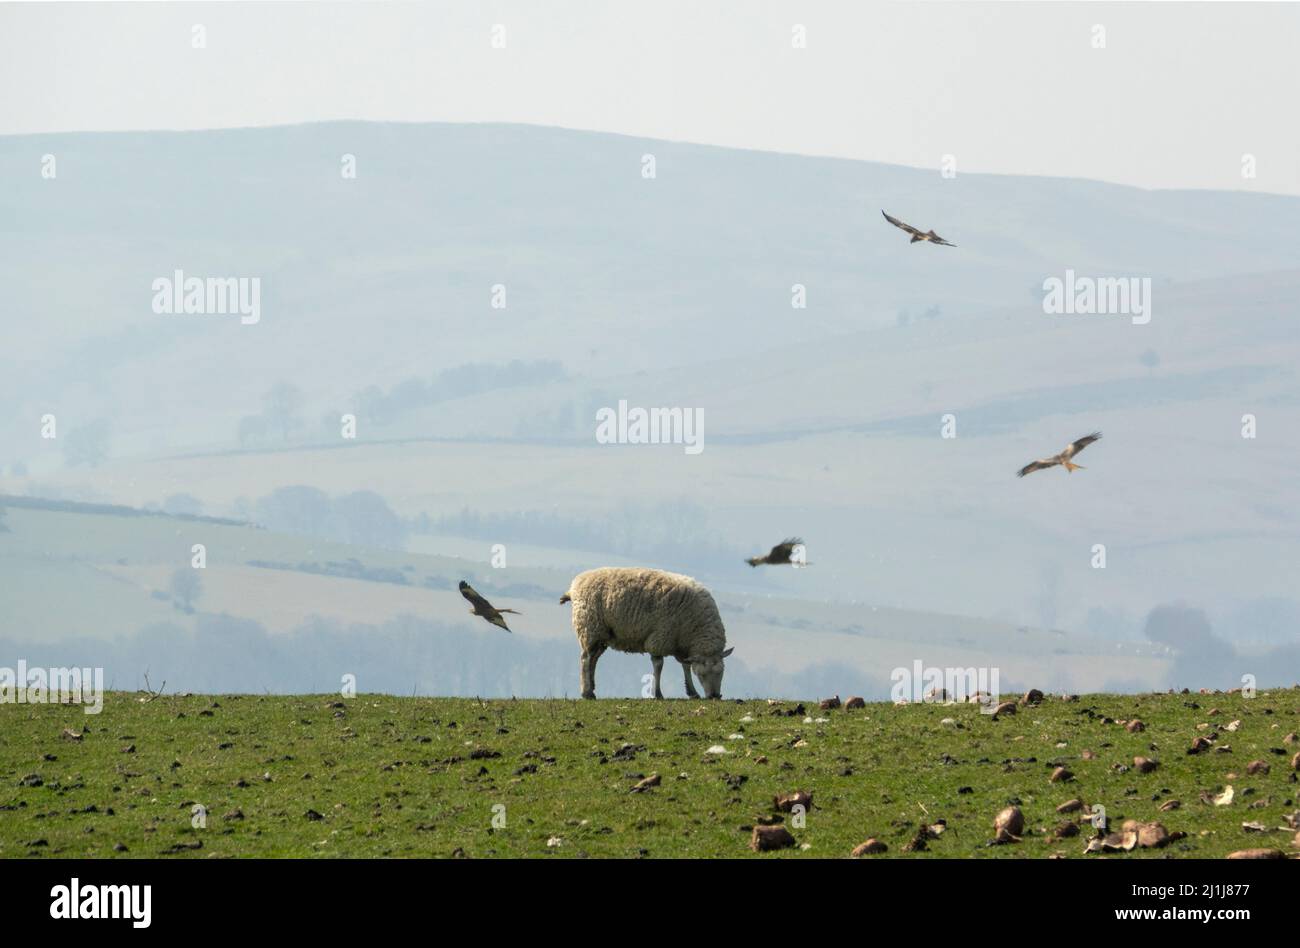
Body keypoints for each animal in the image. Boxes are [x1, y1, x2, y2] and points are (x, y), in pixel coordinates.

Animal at [559, 567, 734, 700]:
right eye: (702, 675)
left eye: (721, 672)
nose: (715, 696)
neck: (696, 628)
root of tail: (574, 586)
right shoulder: (660, 637)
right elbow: (658, 665)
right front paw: (658, 694)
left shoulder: (682, 644)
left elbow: (685, 666)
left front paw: (692, 692)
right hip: (590, 628)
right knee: (586, 658)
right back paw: (587, 692)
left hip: (602, 634)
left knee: (594, 658)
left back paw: (592, 686)